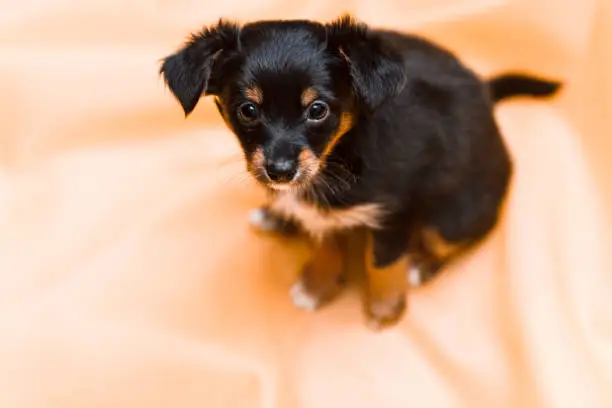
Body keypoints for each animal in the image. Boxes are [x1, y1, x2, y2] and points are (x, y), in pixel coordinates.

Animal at [160, 14, 560, 330]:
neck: (338, 156)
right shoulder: (319, 212)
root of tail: (487, 96)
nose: (280, 172)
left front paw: (385, 309)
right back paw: (277, 216)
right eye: (247, 110)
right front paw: (319, 285)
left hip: (453, 219)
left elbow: (383, 262)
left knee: (458, 239)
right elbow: (323, 241)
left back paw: (421, 264)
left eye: (318, 110)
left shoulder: (396, 213)